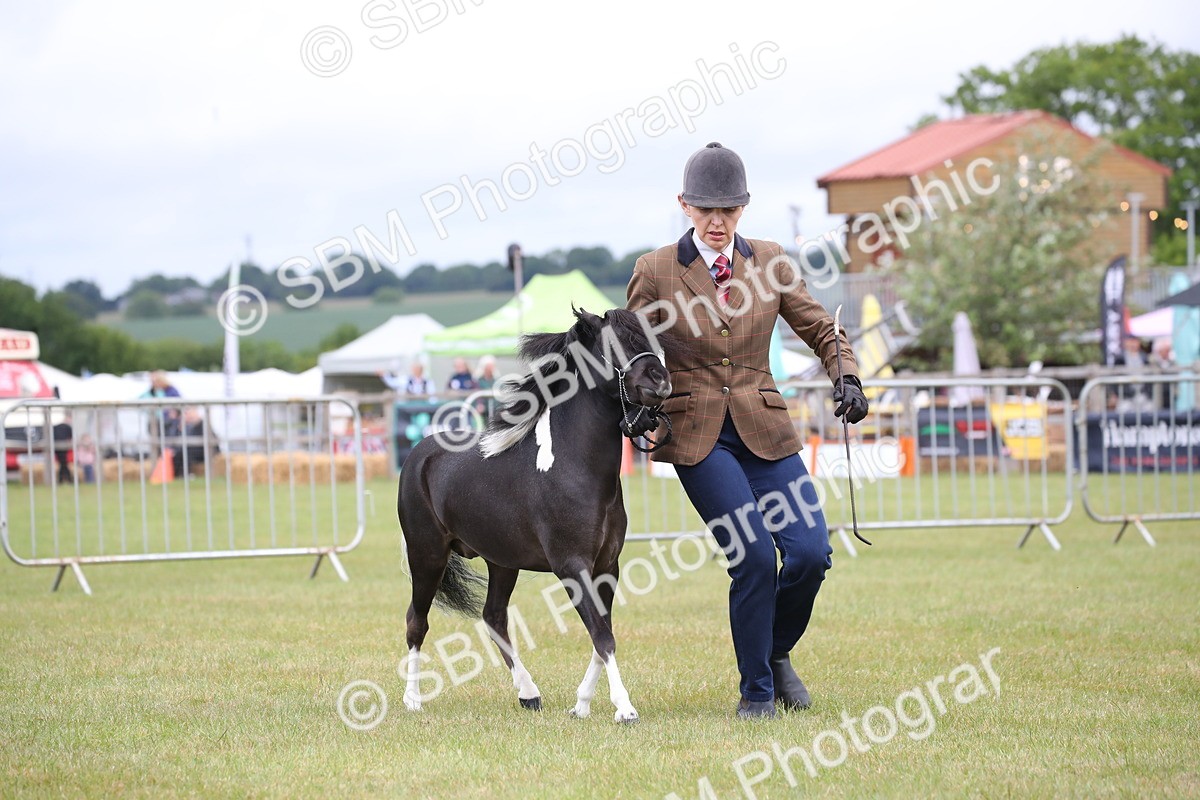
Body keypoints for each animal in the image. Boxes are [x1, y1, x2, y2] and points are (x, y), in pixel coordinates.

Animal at [397, 308, 681, 723]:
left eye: (650, 340)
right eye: (613, 344)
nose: (661, 382)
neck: (574, 466)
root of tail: (419, 454)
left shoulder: (607, 566)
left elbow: (602, 634)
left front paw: (582, 705)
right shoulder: (572, 566)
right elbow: (603, 635)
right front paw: (624, 708)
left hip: (502, 562)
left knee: (494, 617)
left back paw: (529, 694)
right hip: (427, 555)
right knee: (417, 622)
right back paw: (413, 700)